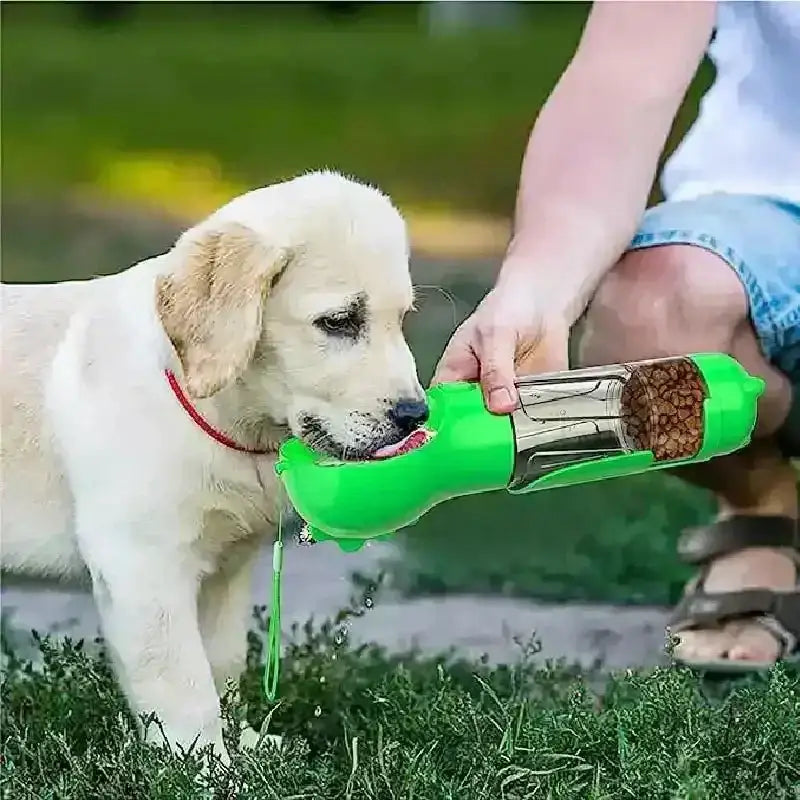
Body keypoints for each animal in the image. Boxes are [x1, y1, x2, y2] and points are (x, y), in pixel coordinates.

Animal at [0, 170, 428, 764]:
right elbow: (182, 683)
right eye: (340, 322)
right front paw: (206, 767)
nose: (416, 415)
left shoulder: (225, 568)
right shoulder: (142, 563)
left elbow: (221, 664)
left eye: (401, 319)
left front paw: (242, 745)